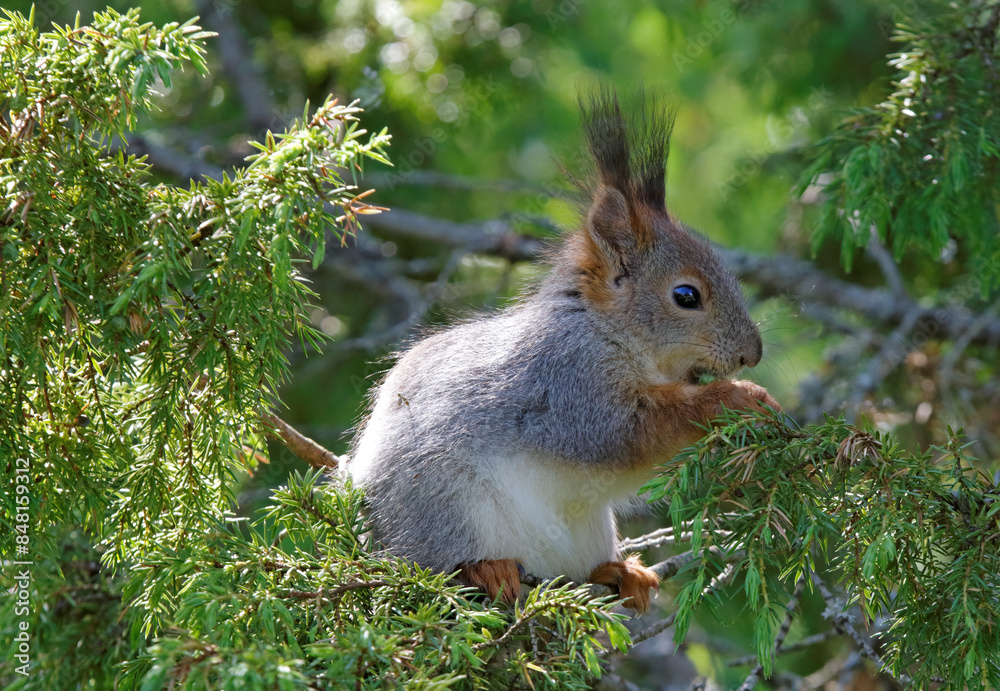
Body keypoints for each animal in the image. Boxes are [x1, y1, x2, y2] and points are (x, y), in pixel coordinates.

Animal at [347, 87, 780, 613]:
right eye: (686, 295)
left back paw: (621, 572)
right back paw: (487, 569)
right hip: (440, 509)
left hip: (586, 530)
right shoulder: (569, 385)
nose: (752, 353)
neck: (606, 331)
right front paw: (738, 398)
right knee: (444, 561)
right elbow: (626, 433)